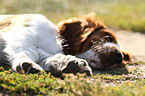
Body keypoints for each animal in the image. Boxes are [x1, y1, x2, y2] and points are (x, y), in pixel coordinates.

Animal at [0, 12, 131, 76]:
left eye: (121, 62)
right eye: (108, 37)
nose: (119, 56)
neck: (56, 39)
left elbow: (46, 56)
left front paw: (71, 64)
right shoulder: (24, 32)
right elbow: (29, 51)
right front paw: (26, 63)